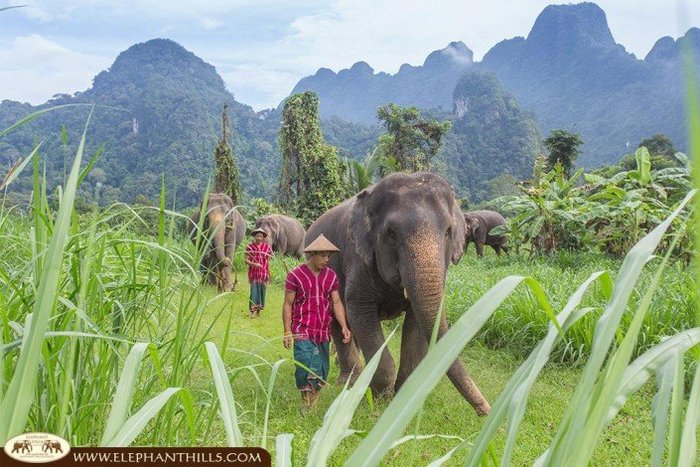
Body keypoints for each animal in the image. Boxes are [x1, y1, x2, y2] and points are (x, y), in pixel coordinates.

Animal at [306, 171, 492, 416]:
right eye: (391, 234)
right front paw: (379, 399)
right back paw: (349, 382)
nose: (486, 410)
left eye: (448, 231)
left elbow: (416, 324)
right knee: (337, 321)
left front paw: (402, 399)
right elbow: (360, 314)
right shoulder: (358, 260)